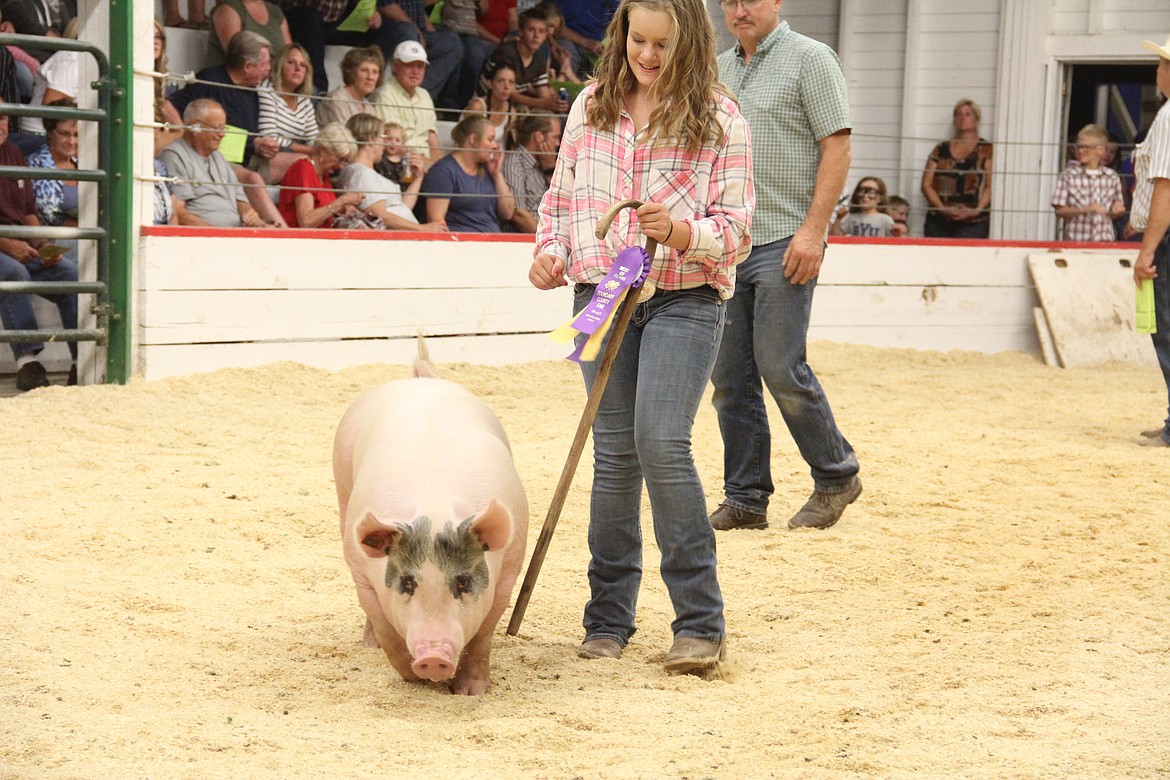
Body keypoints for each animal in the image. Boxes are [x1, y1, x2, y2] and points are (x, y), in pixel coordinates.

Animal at [332, 360, 528, 696]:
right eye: (407, 583)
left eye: (462, 583)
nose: (434, 657)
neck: (435, 508)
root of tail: (419, 381)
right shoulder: (360, 572)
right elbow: (386, 629)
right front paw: (414, 679)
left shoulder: (509, 570)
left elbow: (483, 635)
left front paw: (470, 692)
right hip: (342, 483)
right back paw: (369, 645)